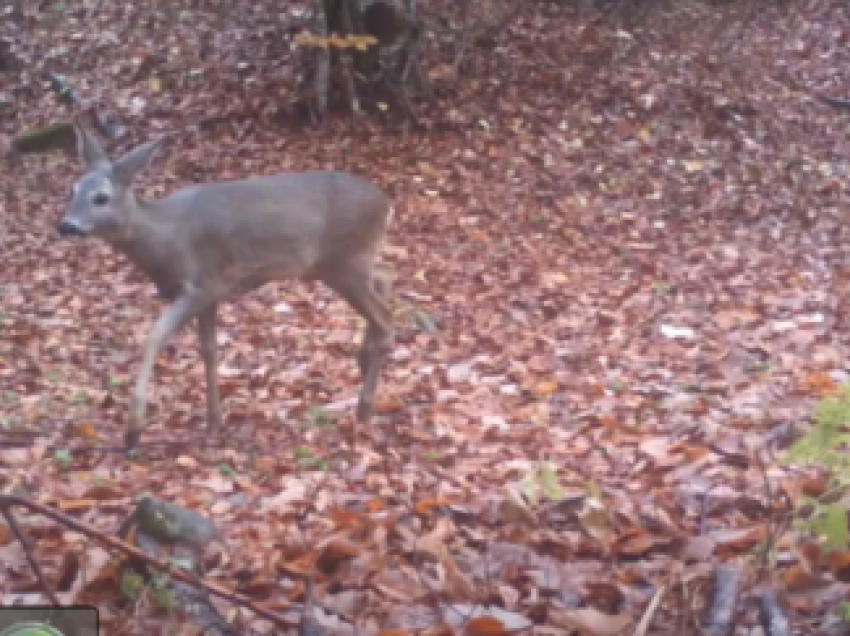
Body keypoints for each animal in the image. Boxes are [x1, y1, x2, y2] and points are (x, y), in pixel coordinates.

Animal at [59, 126, 394, 450]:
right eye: (72, 190)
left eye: (101, 197)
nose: (66, 226)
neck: (166, 240)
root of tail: (385, 204)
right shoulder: (212, 293)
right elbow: (209, 349)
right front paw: (214, 421)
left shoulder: (199, 286)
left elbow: (156, 335)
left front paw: (133, 431)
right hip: (348, 264)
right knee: (383, 288)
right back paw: (363, 362)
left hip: (344, 262)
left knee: (384, 318)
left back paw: (365, 406)